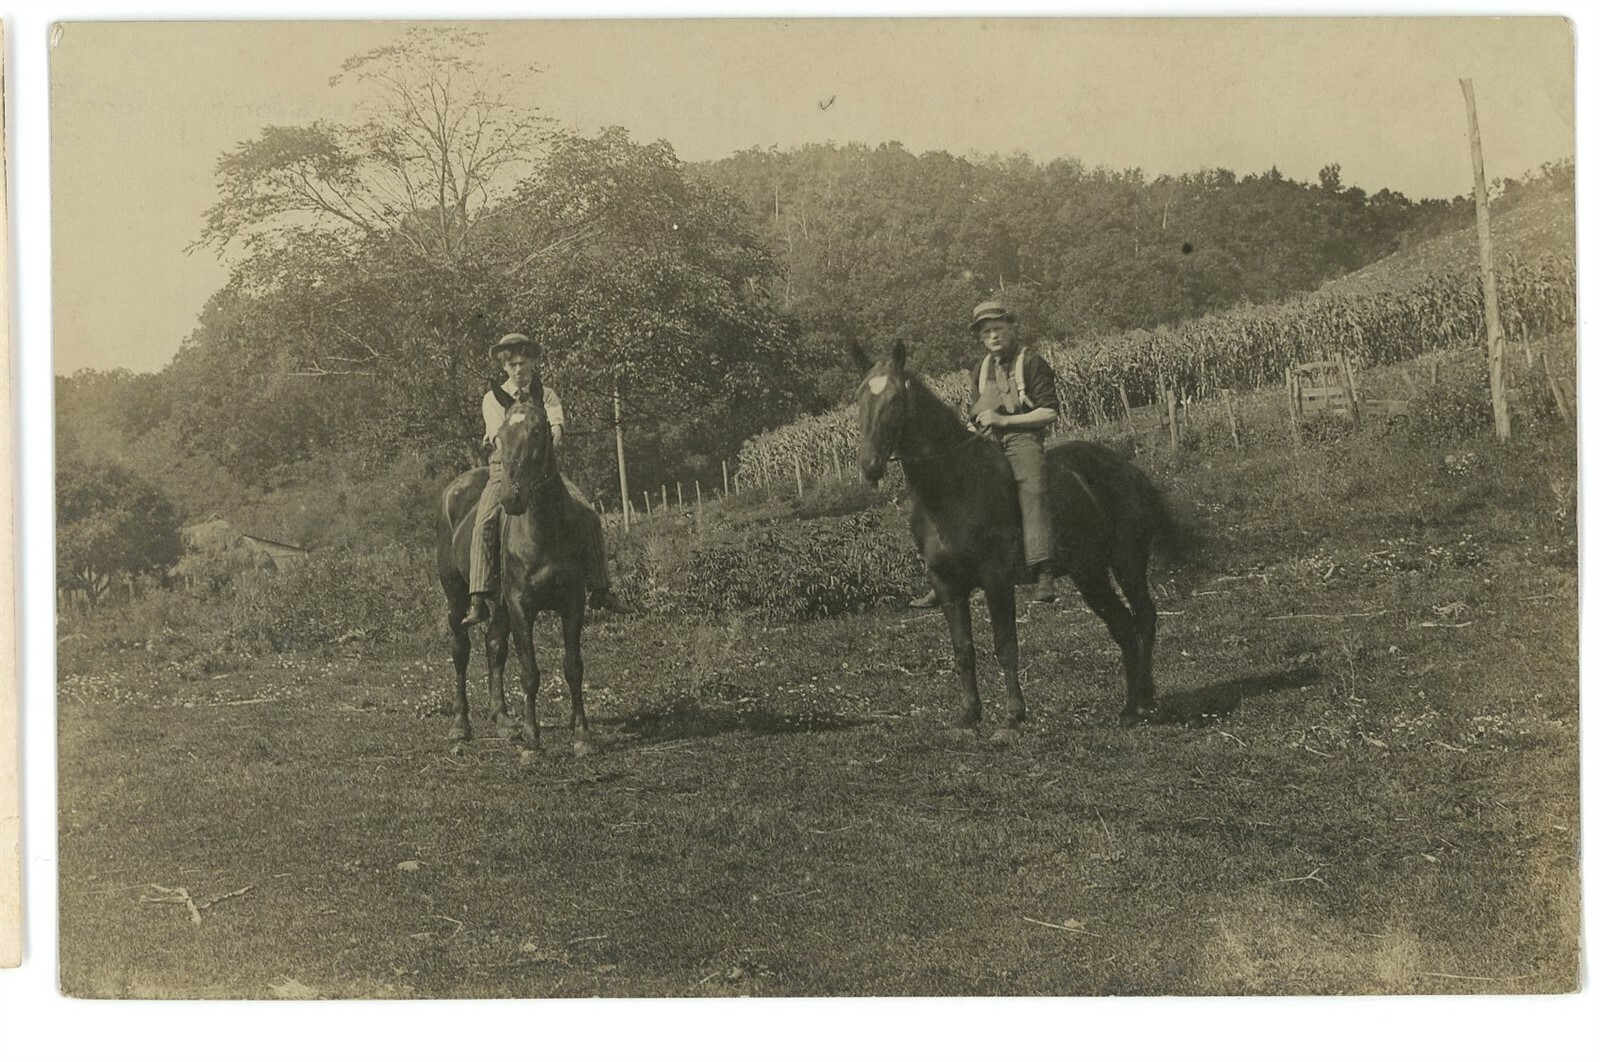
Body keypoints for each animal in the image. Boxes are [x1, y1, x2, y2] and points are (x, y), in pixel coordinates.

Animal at [436, 384, 593, 758]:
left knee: (494, 645)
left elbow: (573, 666)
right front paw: (533, 742)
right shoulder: (522, 605)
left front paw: (581, 735)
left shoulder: (572, 603)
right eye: (500, 437)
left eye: (538, 430)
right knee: (460, 650)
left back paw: (505, 720)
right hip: (455, 595)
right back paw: (461, 725)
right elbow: (529, 671)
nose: (511, 499)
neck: (544, 531)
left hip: (499, 603)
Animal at [853, 339, 1185, 733]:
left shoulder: (996, 579)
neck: (953, 489)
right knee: (1122, 627)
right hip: (1089, 573)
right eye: (859, 399)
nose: (869, 466)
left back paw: (1146, 700)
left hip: (1127, 562)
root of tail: (1128, 469)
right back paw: (1130, 707)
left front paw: (1013, 714)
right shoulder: (947, 585)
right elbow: (963, 649)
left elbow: (1005, 644)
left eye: (893, 400)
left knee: (1145, 617)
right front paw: (970, 714)